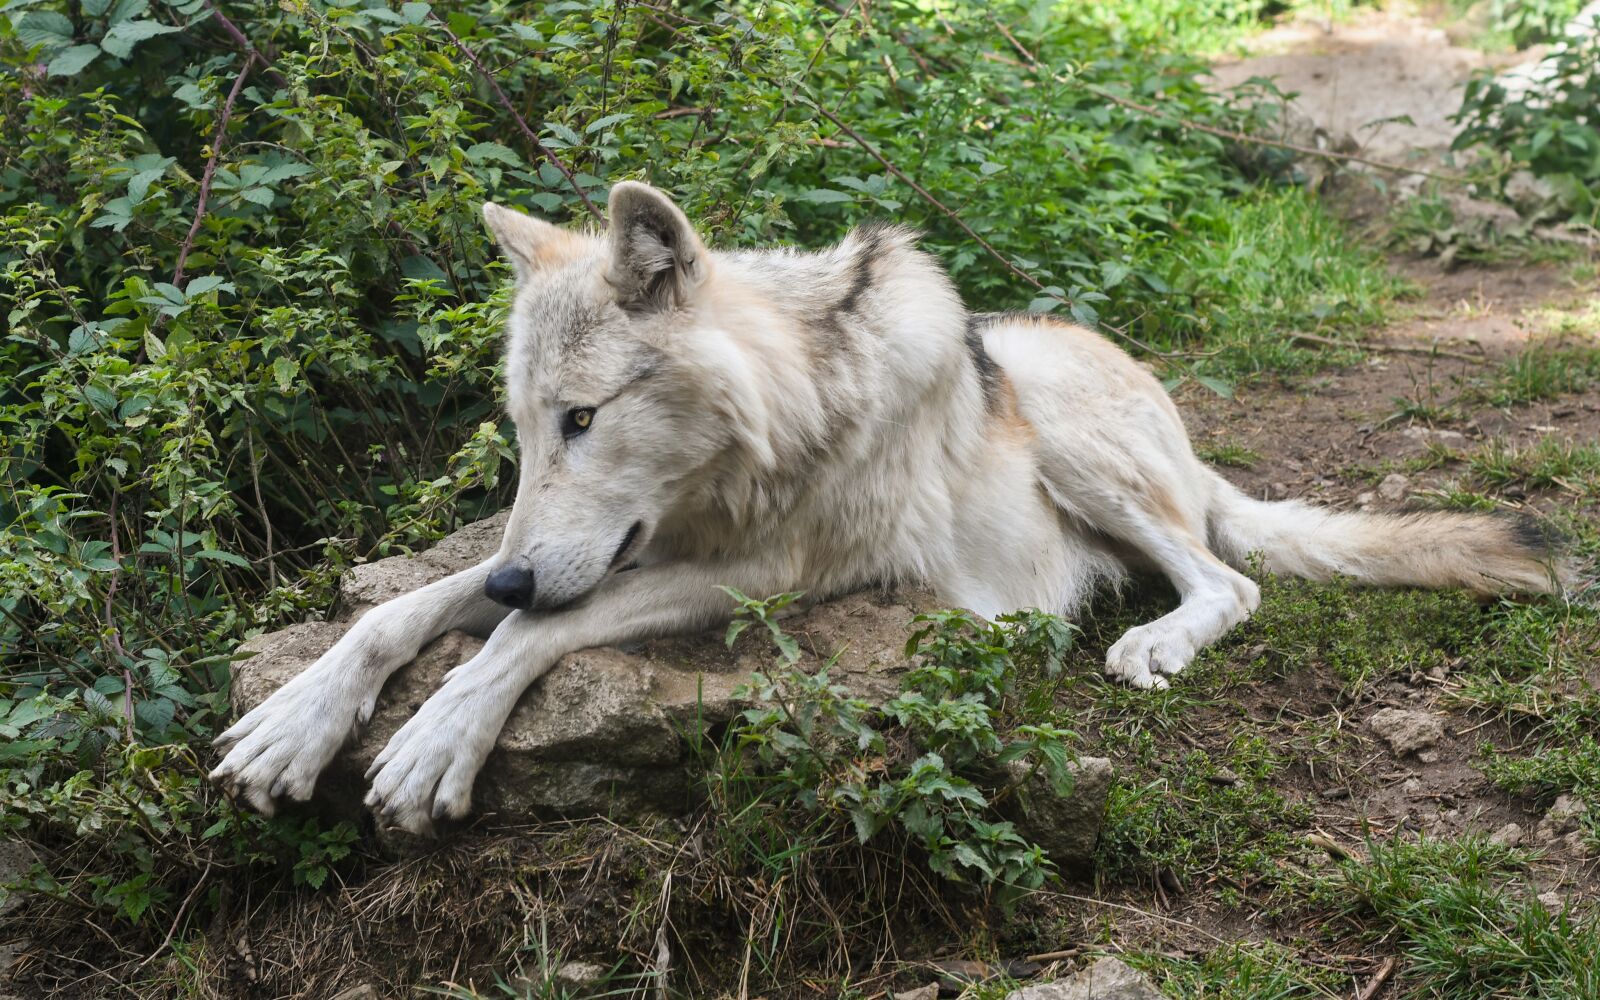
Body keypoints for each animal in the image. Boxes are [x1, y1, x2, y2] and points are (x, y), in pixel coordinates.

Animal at [211, 181, 1570, 834]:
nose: (508, 569)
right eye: (524, 430)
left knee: (1224, 579)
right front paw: (295, 721)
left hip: (1064, 430)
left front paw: (435, 740)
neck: (790, 412)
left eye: (583, 420)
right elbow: (409, 613)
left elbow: (520, 634)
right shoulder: (593, 554)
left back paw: (1150, 638)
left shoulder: (777, 572)